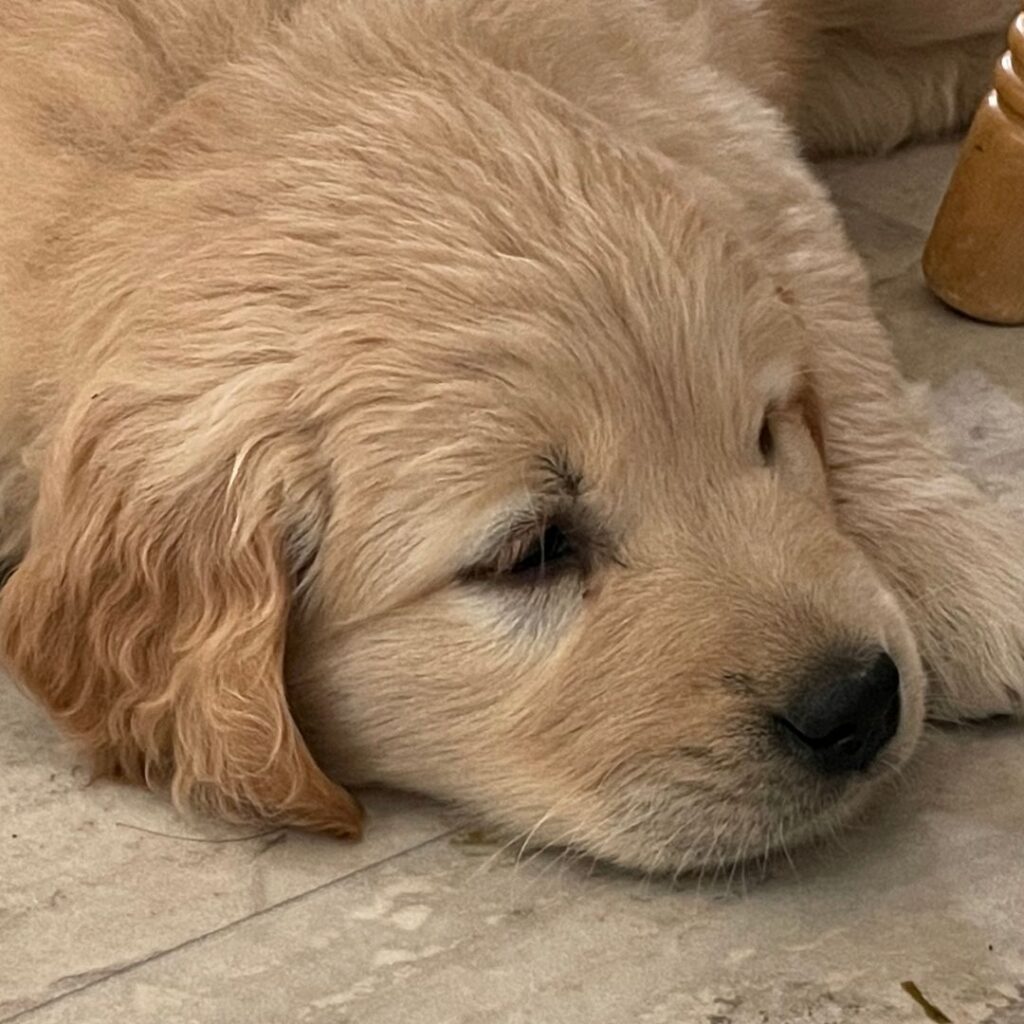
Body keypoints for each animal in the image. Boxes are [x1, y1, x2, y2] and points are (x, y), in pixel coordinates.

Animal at [0, 2, 1019, 872]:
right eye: (529, 554)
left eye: (762, 435)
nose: (859, 702)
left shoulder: (715, 117)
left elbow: (831, 315)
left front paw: (962, 575)